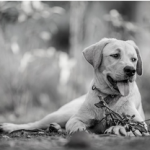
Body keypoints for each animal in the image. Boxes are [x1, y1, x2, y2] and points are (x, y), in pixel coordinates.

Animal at [0, 37, 148, 136]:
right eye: (115, 55)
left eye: (134, 59)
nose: (131, 70)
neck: (108, 98)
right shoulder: (76, 118)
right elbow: (75, 123)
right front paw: (79, 130)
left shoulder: (141, 123)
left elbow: (131, 124)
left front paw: (118, 128)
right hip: (61, 114)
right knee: (35, 124)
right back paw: (9, 126)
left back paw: (55, 128)